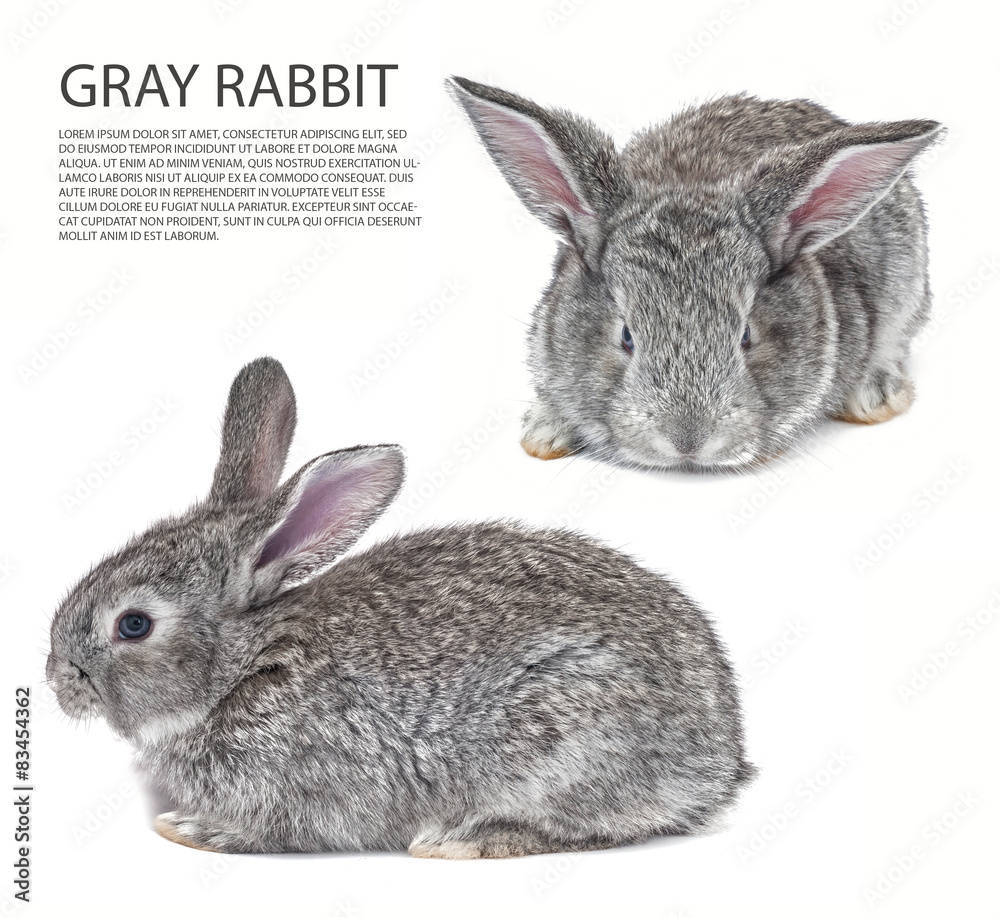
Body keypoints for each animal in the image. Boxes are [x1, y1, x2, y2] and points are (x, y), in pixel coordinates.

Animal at [46, 357, 754, 858]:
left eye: (133, 624)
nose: (57, 681)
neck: (243, 666)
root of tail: (721, 752)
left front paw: (194, 829)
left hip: (567, 739)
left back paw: (460, 840)